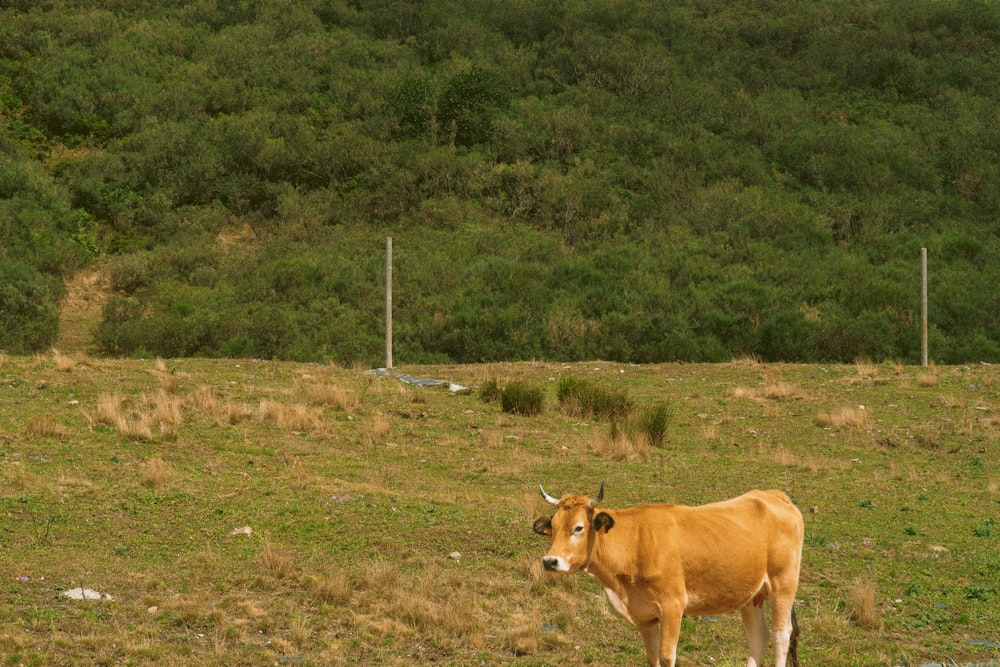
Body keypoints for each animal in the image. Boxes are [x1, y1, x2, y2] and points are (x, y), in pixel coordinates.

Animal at [532, 486, 804, 667]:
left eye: (578, 527)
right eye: (553, 527)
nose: (550, 561)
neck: (635, 543)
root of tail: (771, 494)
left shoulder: (673, 605)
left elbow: (666, 656)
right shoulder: (643, 615)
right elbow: (653, 658)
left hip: (783, 584)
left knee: (782, 634)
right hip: (751, 594)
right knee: (759, 637)